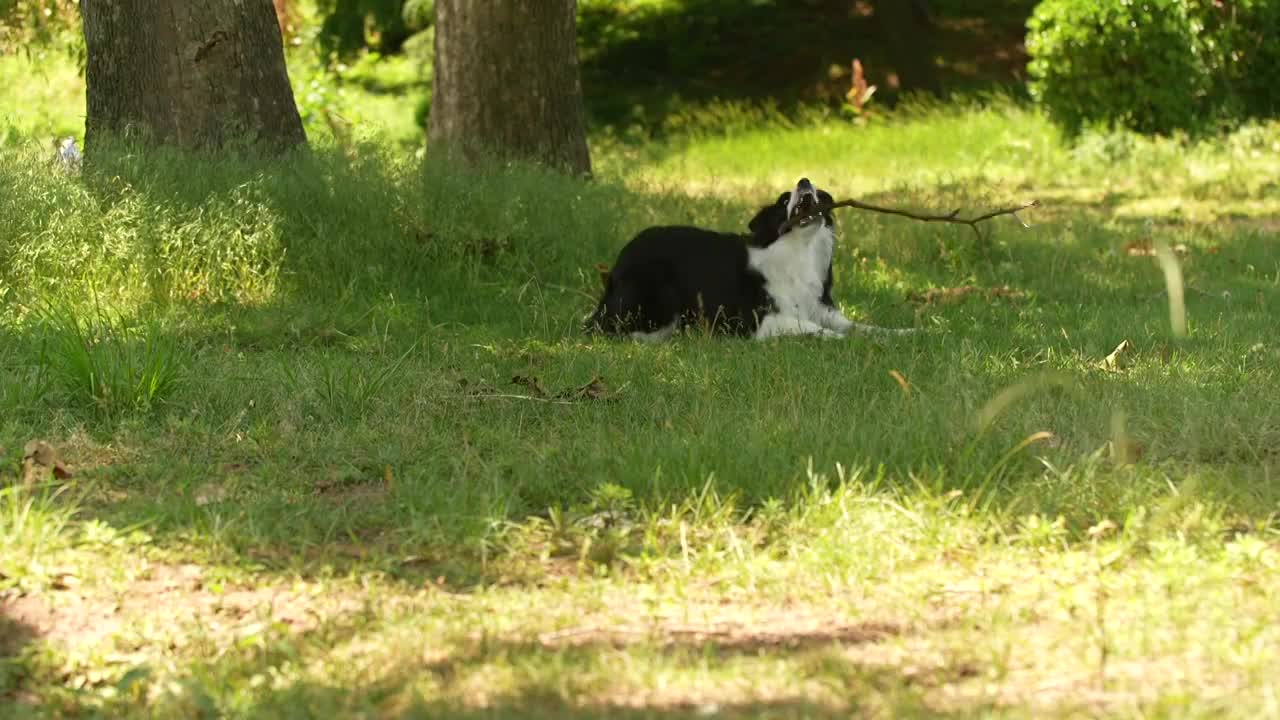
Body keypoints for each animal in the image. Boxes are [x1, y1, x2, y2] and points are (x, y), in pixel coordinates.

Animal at [586, 176, 896, 338]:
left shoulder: (821, 307)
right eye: (784, 200)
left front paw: (899, 334)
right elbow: (814, 328)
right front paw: (844, 341)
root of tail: (618, 264)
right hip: (660, 295)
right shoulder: (755, 319)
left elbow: (862, 326)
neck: (799, 251)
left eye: (818, 192)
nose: (804, 180)